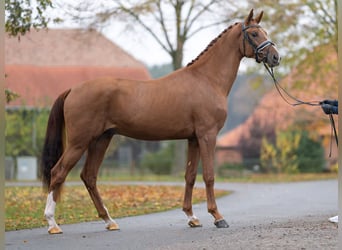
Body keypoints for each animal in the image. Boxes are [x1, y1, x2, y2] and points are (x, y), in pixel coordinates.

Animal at [41, 8, 280, 234]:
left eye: (265, 32)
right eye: (254, 33)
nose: (275, 58)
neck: (206, 79)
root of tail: (73, 89)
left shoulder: (193, 139)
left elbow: (190, 176)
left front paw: (192, 217)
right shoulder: (207, 136)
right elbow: (209, 175)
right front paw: (218, 217)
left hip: (101, 140)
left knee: (89, 176)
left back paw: (109, 221)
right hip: (79, 142)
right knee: (58, 172)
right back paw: (53, 224)